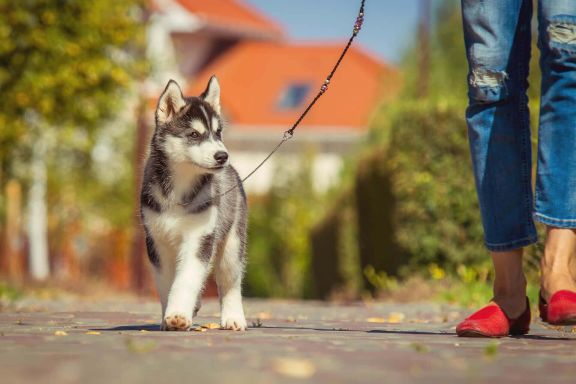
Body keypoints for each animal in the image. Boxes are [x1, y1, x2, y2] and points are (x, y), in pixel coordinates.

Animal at [141, 77, 248, 330]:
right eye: (193, 134)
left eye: (218, 132)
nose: (222, 156)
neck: (179, 189)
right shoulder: (157, 242)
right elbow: (166, 284)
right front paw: (168, 317)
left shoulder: (200, 237)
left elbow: (186, 279)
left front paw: (178, 314)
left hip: (231, 244)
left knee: (230, 282)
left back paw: (233, 318)